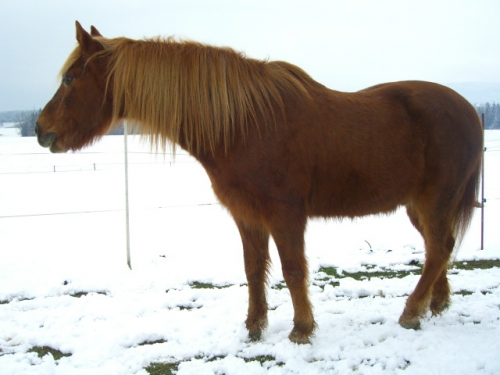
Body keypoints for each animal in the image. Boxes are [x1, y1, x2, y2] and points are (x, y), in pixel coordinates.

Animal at [36, 22, 484, 346]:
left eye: (71, 78)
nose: (41, 130)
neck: (242, 124)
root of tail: (469, 109)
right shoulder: (246, 215)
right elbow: (253, 269)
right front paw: (254, 326)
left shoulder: (286, 215)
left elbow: (292, 269)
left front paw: (301, 329)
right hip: (420, 207)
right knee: (439, 248)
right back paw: (434, 305)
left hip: (435, 201)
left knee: (438, 249)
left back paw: (411, 312)